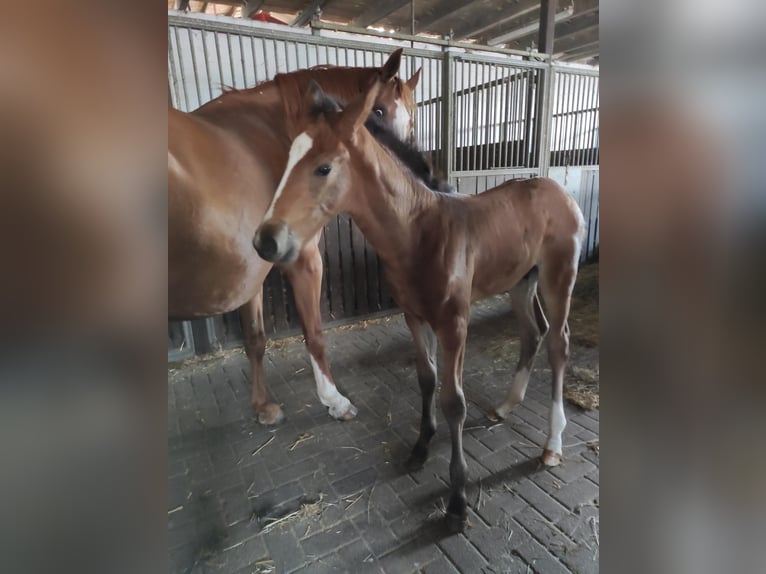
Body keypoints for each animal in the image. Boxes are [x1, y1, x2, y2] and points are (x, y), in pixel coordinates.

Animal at [169, 49, 424, 426]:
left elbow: (255, 338)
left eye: (413, 120)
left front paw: (263, 407)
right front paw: (335, 401)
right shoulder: (302, 257)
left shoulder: (254, 269)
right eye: (377, 111)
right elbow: (314, 335)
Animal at [255, 79, 584, 532]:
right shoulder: (414, 316)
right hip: (521, 282)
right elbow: (426, 379)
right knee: (532, 334)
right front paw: (420, 447)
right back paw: (505, 406)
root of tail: (558, 190)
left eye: (323, 168)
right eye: (288, 159)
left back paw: (552, 444)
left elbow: (453, 402)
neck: (419, 233)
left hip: (558, 279)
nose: (265, 241)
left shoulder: (454, 323)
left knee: (558, 344)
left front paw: (458, 501)